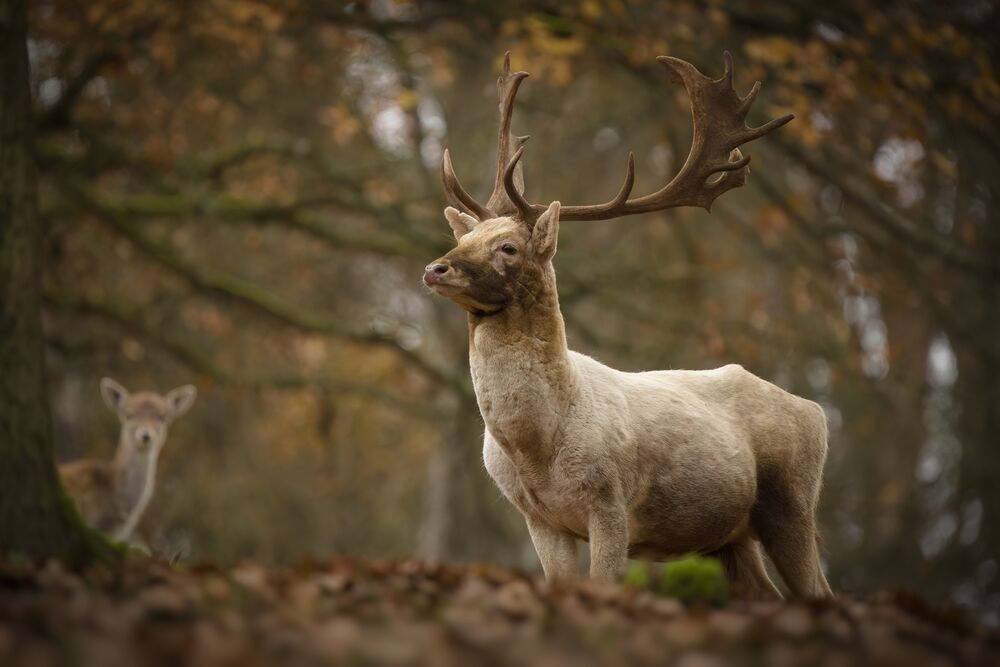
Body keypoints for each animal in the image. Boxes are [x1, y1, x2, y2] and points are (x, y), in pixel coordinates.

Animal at [422, 52, 833, 598]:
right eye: (467, 237)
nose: (435, 268)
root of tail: (817, 413)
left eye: (507, 246)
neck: (537, 449)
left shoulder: (610, 501)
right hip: (728, 537)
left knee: (820, 592)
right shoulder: (540, 518)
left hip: (792, 500)